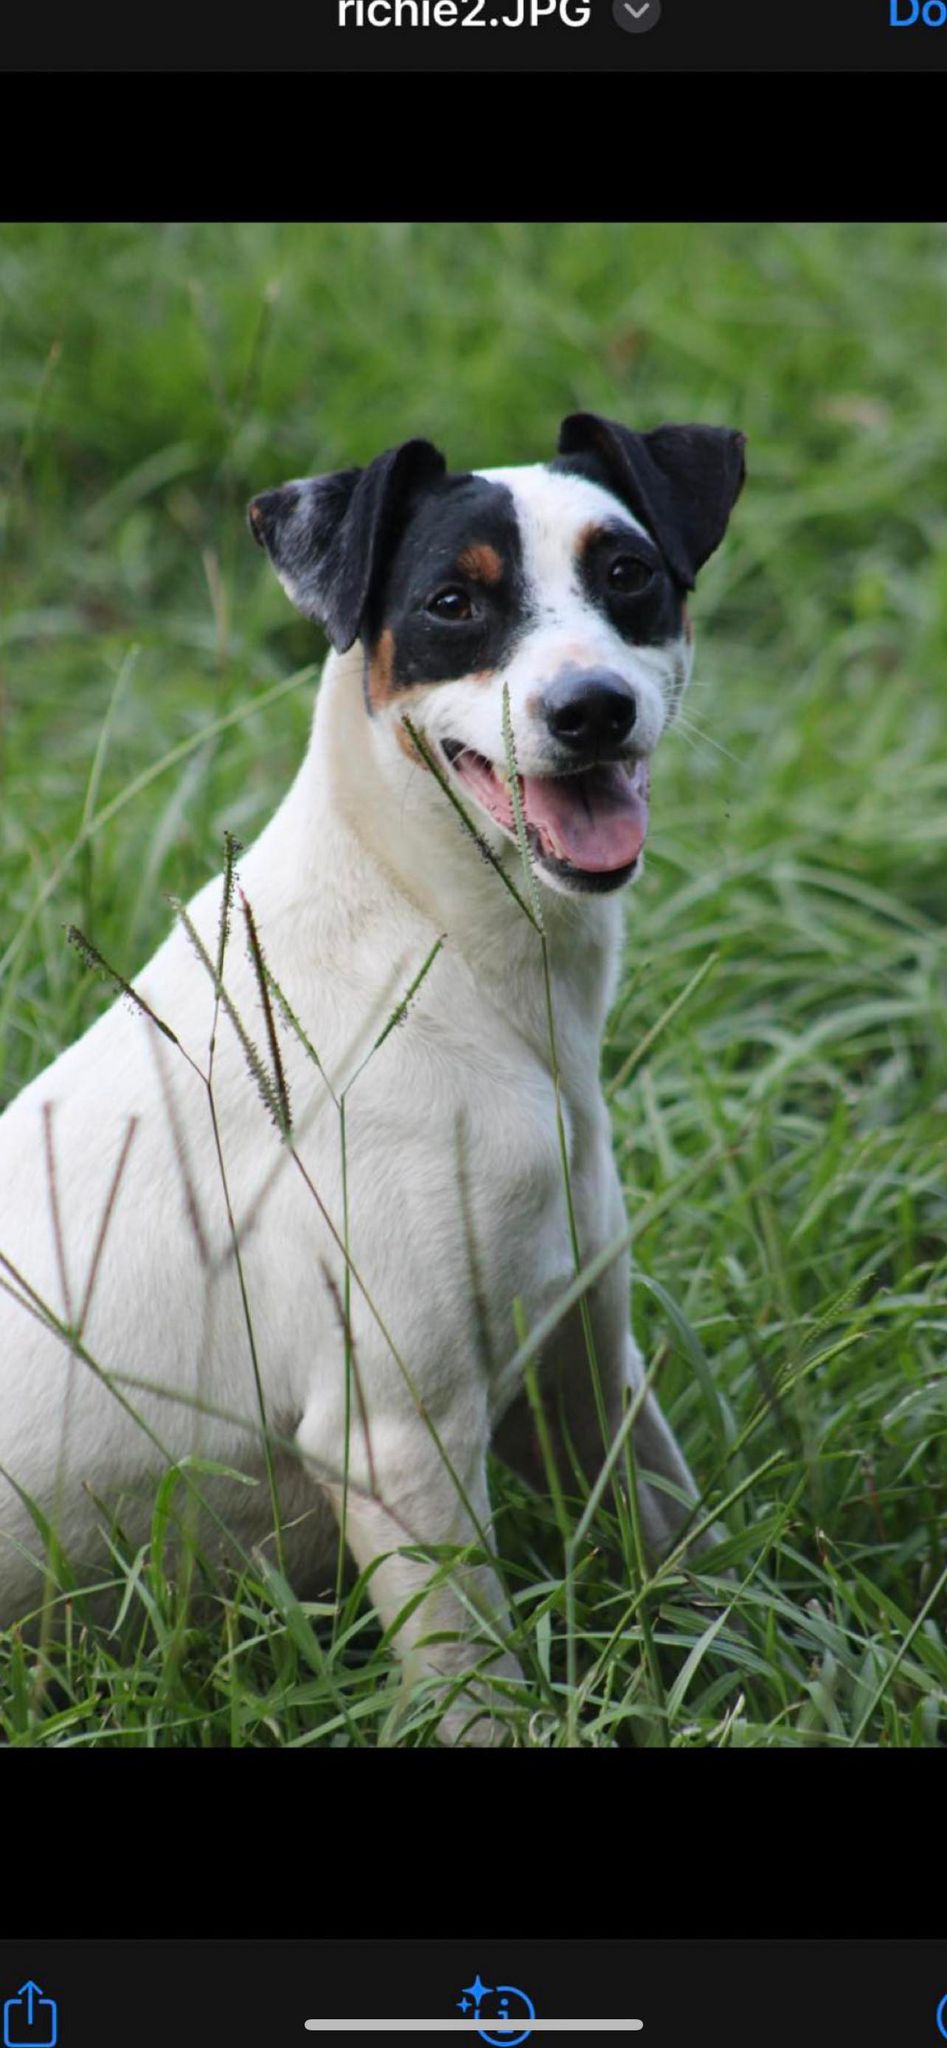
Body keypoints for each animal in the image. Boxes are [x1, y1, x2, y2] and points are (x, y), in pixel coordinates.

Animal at [0, 411, 742, 1744]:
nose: (591, 710)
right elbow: (480, 1695)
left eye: (627, 575)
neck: (438, 941)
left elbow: (686, 1555)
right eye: (452, 601)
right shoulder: (398, 1442)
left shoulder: (585, 1363)